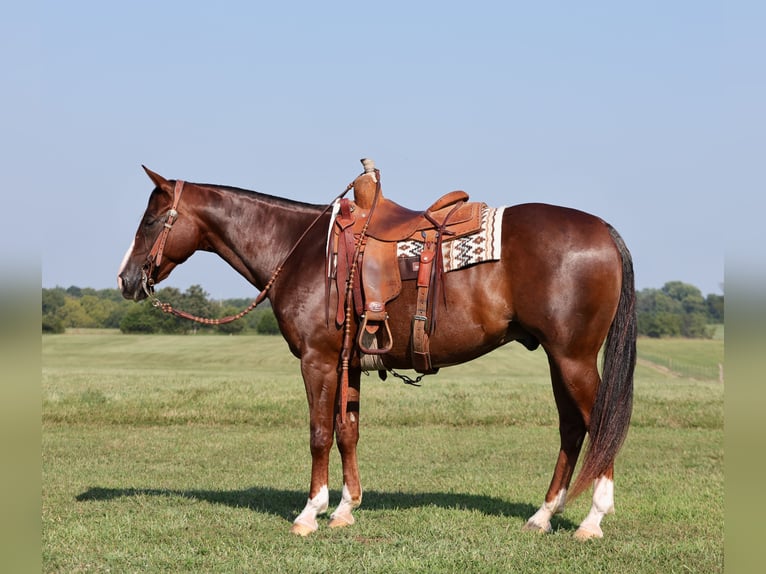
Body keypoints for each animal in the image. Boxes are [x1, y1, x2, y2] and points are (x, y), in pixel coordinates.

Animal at [118, 164, 636, 544]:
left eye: (150, 221)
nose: (126, 279)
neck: (301, 250)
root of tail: (604, 230)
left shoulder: (317, 361)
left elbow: (320, 433)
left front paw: (310, 512)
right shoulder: (349, 364)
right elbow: (348, 431)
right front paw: (346, 508)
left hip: (572, 357)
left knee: (599, 424)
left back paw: (592, 521)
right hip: (558, 358)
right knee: (572, 429)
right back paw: (543, 515)